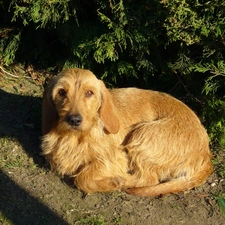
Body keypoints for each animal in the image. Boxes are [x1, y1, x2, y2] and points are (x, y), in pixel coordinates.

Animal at [40, 67, 213, 196]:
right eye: (62, 92)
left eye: (89, 92)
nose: (74, 120)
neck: (77, 137)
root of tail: (206, 154)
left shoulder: (116, 159)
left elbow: (82, 178)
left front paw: (112, 181)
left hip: (142, 134)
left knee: (149, 179)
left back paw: (121, 181)